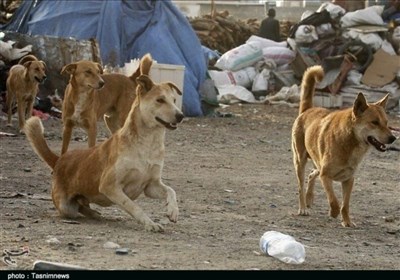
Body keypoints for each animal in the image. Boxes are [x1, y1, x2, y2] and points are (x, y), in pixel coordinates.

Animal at [25, 74, 185, 232]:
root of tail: (59, 160)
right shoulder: (109, 185)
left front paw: (173, 211)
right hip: (66, 207)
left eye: (174, 100)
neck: (148, 144)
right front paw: (149, 223)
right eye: (160, 100)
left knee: (82, 206)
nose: (181, 116)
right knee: (77, 209)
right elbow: (133, 206)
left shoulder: (151, 186)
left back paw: (97, 214)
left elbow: (171, 190)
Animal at [290, 65, 396, 228]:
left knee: (311, 174)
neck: (350, 141)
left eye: (386, 122)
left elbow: (345, 205)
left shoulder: (348, 180)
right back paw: (303, 208)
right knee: (301, 185)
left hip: (317, 163)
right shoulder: (326, 176)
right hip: (300, 161)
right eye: (374, 122)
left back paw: (309, 198)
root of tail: (307, 110)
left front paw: (347, 221)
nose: (393, 138)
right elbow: (334, 201)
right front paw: (333, 213)